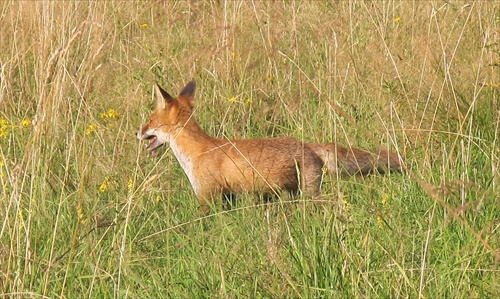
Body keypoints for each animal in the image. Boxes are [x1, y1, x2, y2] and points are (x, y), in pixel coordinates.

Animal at [137, 81, 402, 212]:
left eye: (149, 120)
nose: (137, 132)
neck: (197, 151)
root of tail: (307, 144)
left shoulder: (207, 197)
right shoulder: (228, 197)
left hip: (311, 193)